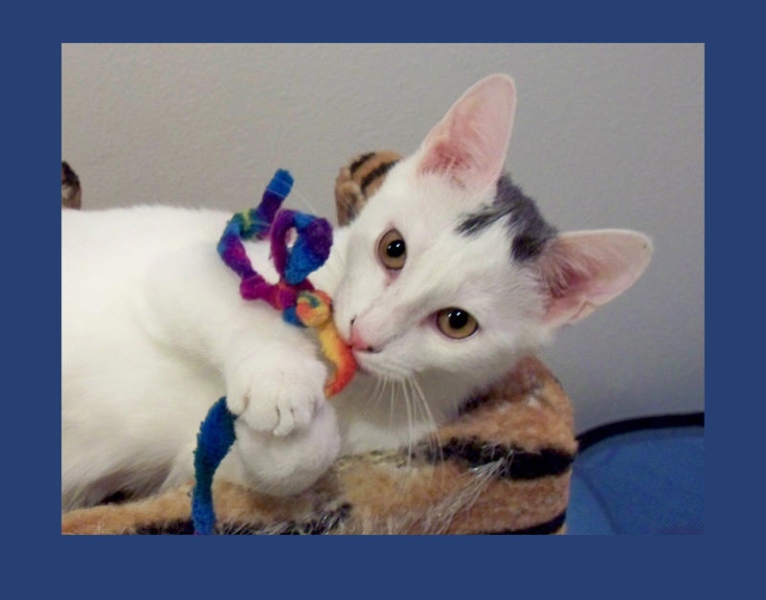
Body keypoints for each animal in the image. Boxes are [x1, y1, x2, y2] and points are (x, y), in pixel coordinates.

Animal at [63, 72, 656, 508]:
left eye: (457, 323)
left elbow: (269, 471)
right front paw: (280, 378)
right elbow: (217, 295)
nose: (361, 335)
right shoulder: (185, 267)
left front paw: (290, 439)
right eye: (393, 248)